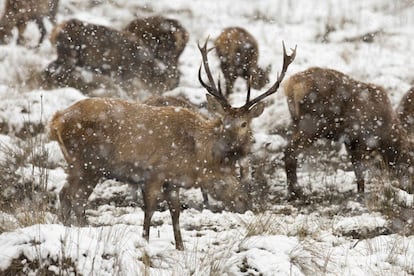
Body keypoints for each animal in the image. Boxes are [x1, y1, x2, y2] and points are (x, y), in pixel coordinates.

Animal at [47, 39, 294, 250]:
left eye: (244, 123)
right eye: (224, 121)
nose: (245, 203)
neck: (195, 156)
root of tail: (56, 120)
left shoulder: (172, 181)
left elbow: (175, 212)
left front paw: (180, 246)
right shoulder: (154, 173)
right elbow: (149, 210)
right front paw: (145, 240)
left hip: (80, 165)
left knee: (68, 195)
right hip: (87, 163)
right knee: (73, 197)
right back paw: (81, 229)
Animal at [284, 68, 414, 199]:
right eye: (411, 163)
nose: (410, 188)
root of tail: (291, 85)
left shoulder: (350, 143)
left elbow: (357, 170)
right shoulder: (362, 141)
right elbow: (360, 171)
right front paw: (361, 195)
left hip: (296, 122)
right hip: (311, 126)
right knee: (290, 151)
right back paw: (296, 192)